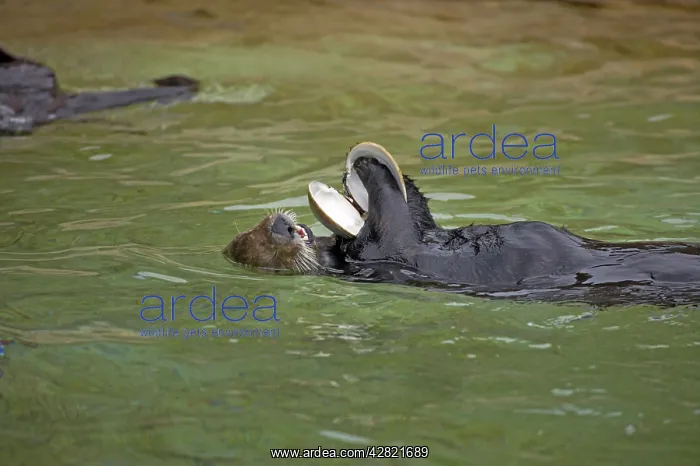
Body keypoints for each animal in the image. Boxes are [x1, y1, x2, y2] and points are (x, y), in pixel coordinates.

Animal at [223, 156, 700, 307]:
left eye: (259, 227)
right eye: (264, 243)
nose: (282, 224)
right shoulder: (384, 255)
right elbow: (395, 230)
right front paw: (372, 167)